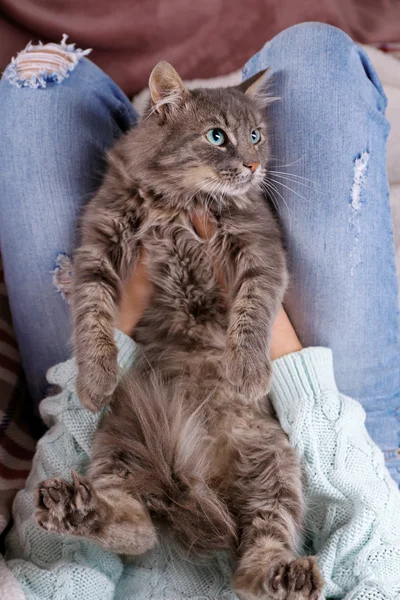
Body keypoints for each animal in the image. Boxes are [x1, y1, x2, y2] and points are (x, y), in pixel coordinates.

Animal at [36, 63, 324, 596]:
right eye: (217, 137)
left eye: (256, 135)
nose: (254, 165)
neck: (182, 199)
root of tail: (199, 474)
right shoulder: (99, 244)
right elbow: (91, 317)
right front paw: (95, 381)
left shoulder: (260, 246)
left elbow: (253, 311)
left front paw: (248, 372)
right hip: (119, 444)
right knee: (137, 529)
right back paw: (77, 510)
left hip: (274, 467)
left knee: (254, 558)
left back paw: (285, 576)